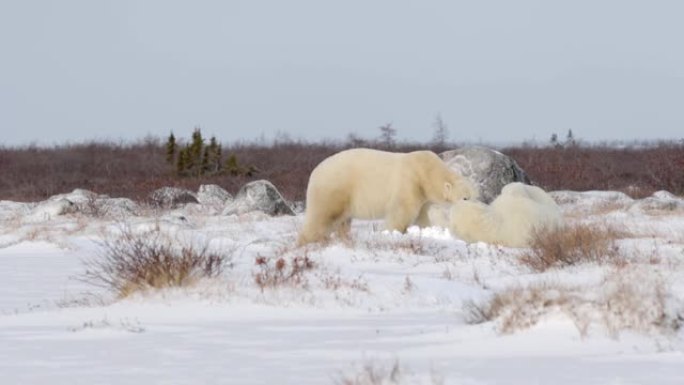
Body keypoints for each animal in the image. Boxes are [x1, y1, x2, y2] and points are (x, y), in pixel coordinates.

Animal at [296, 148, 478, 244]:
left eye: (473, 196)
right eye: (464, 198)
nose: (475, 207)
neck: (426, 171)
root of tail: (315, 172)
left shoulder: (423, 195)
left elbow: (422, 216)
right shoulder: (410, 183)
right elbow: (402, 211)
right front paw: (394, 233)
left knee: (343, 220)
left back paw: (345, 239)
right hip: (335, 188)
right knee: (323, 214)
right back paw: (309, 240)